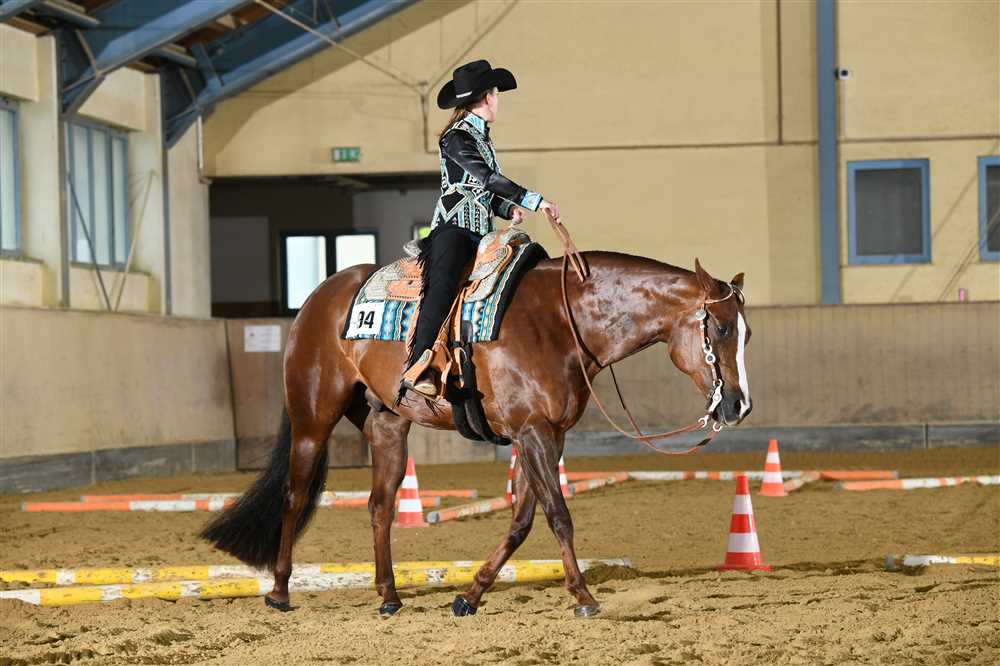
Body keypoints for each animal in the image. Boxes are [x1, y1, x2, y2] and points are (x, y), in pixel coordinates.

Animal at [201, 249, 753, 618]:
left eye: (746, 332)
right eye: (721, 329)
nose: (738, 405)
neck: (562, 322)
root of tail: (319, 297)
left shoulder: (544, 436)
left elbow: (522, 521)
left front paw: (469, 595)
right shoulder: (534, 434)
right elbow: (558, 516)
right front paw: (583, 597)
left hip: (387, 425)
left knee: (380, 507)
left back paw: (389, 596)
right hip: (313, 418)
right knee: (295, 495)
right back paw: (279, 592)